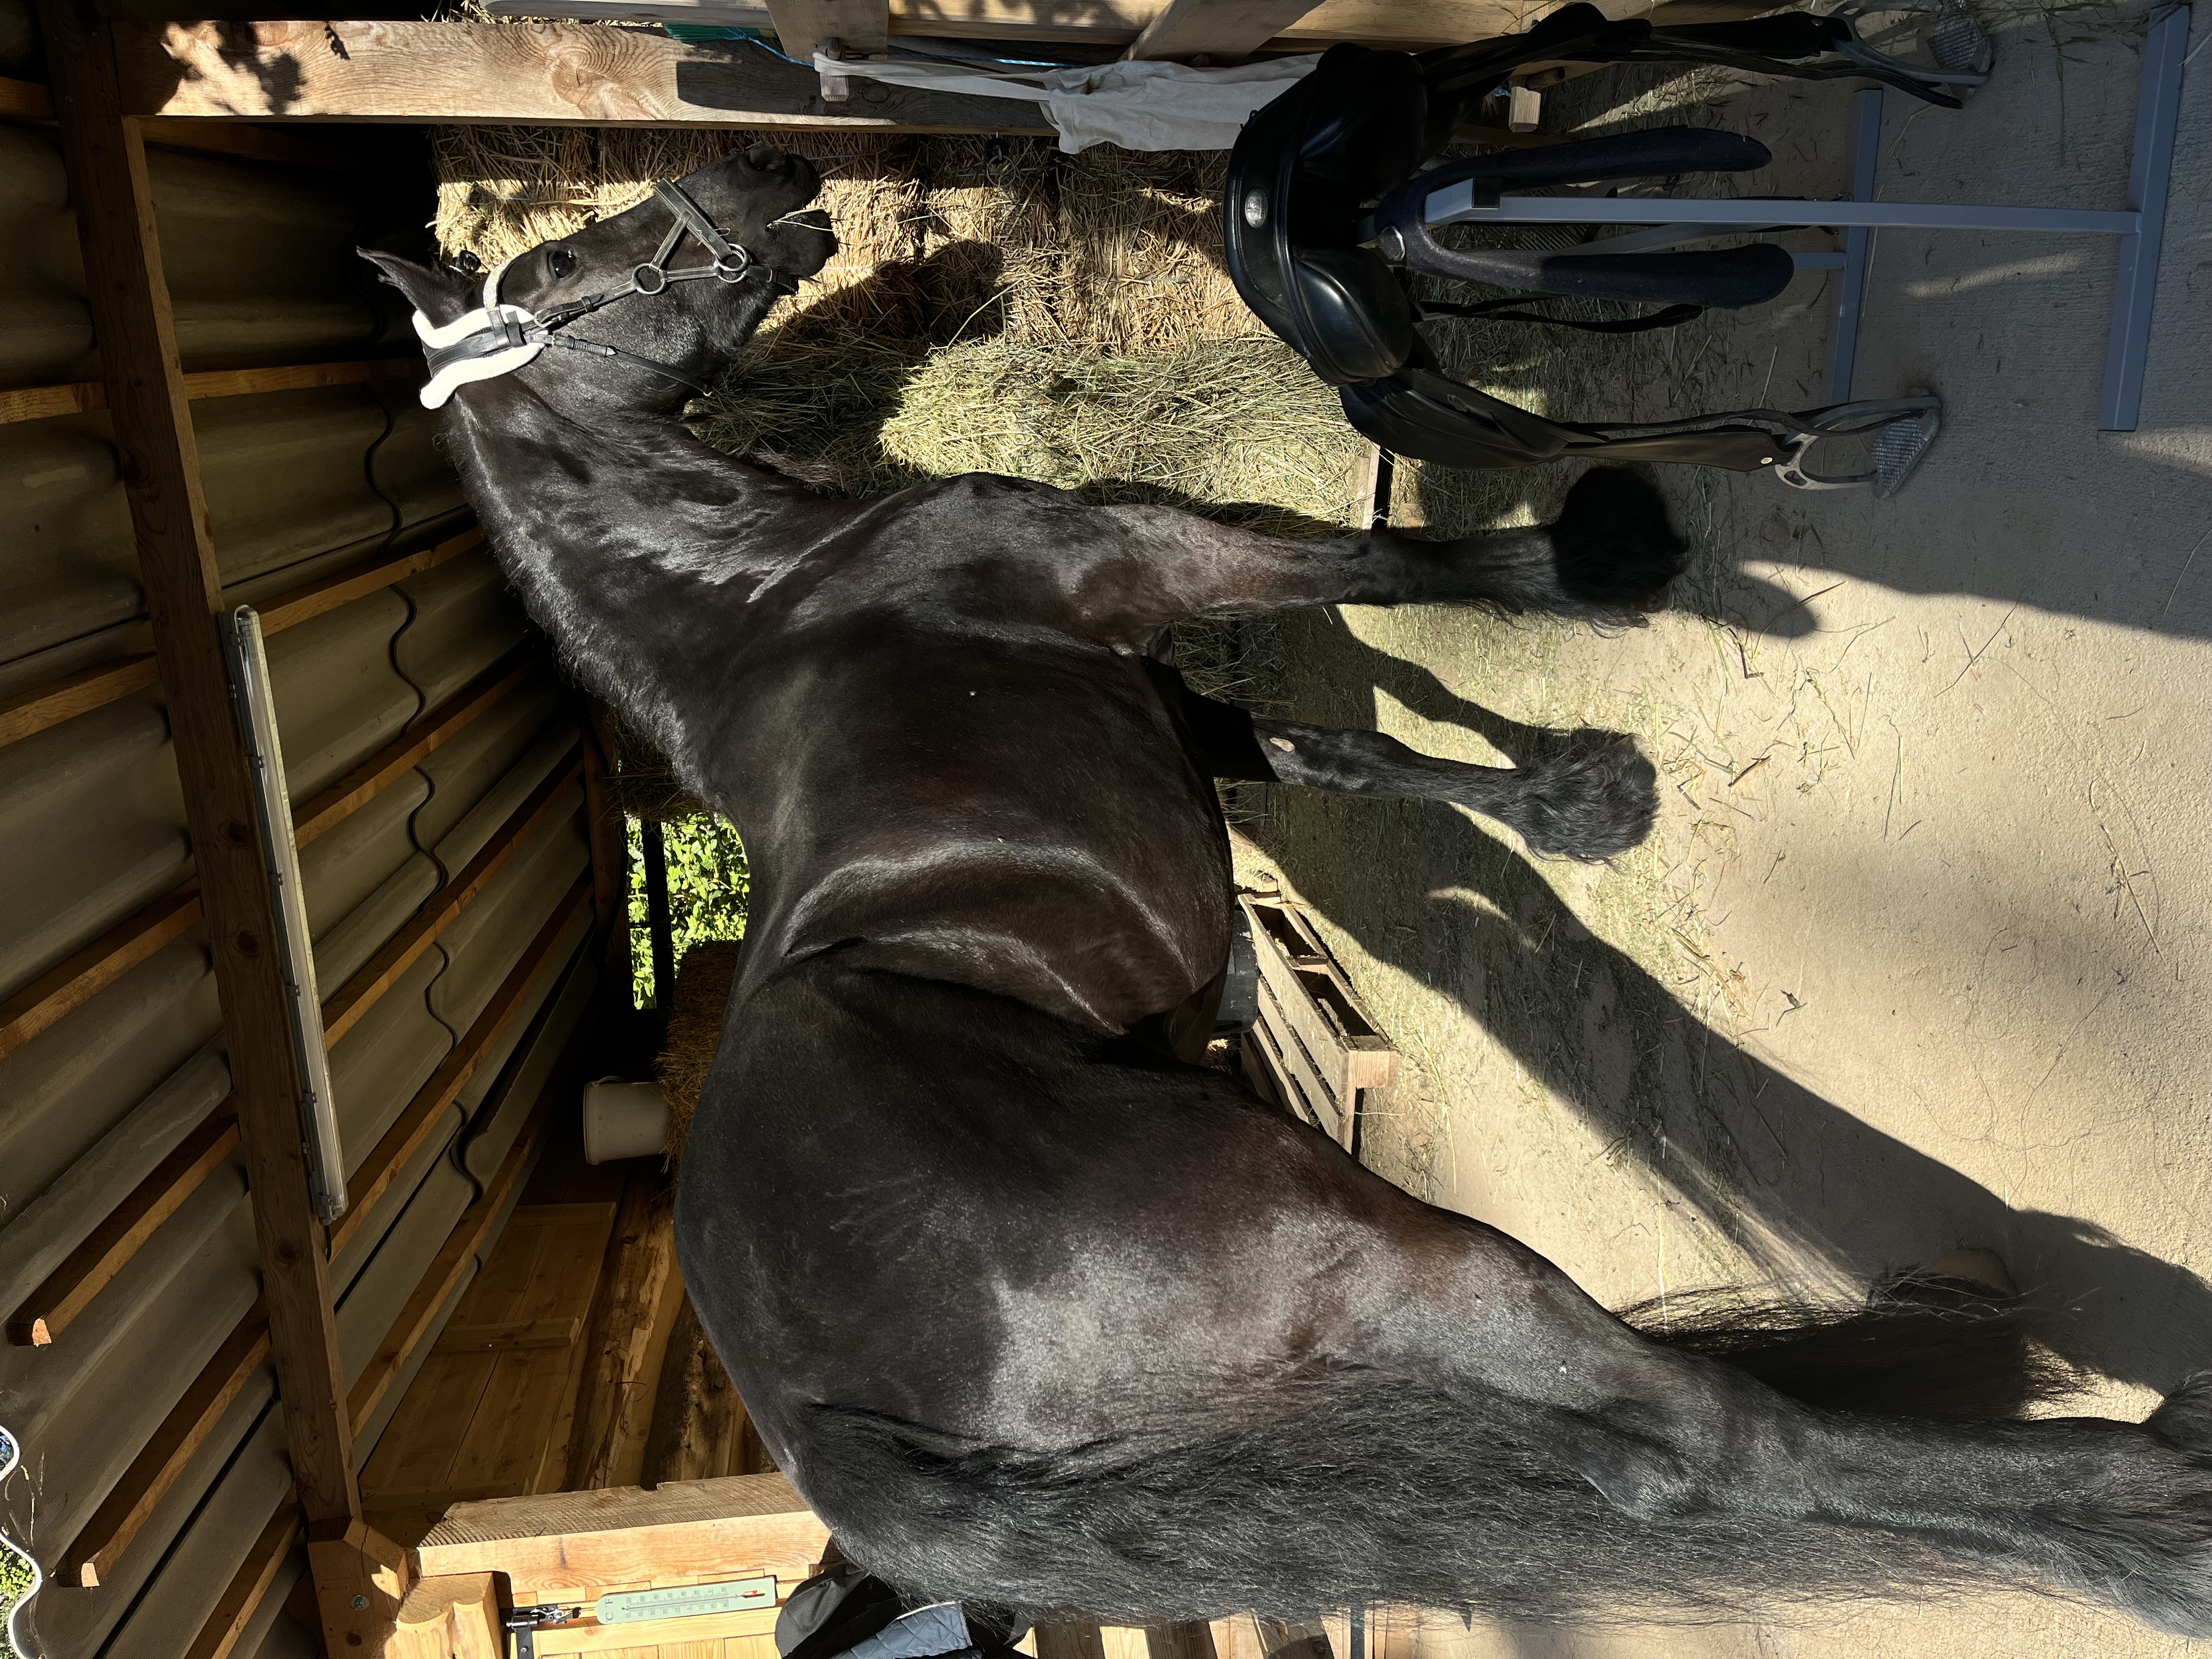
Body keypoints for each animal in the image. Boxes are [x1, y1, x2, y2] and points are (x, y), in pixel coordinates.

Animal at [364, 147, 2212, 1641]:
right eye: (566, 259)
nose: (756, 176)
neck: (773, 590)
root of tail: (829, 1431)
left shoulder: (1181, 713)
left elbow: (1353, 753)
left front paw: (1584, 799)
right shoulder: (1161, 563)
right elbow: (1392, 564)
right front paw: (1679, 519)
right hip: (1393, 1262)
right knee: (1701, 1452)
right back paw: (2162, 1513)